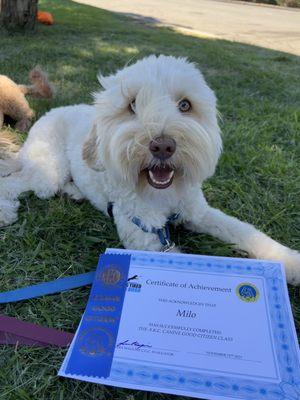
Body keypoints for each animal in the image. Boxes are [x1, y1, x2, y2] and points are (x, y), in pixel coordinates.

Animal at [0, 55, 300, 284]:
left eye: (185, 105)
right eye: (131, 104)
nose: (163, 146)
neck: (165, 197)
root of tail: (49, 113)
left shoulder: (199, 212)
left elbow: (244, 231)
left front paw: (291, 264)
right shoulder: (145, 238)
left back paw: (73, 192)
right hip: (48, 170)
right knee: (15, 182)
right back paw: (6, 211)